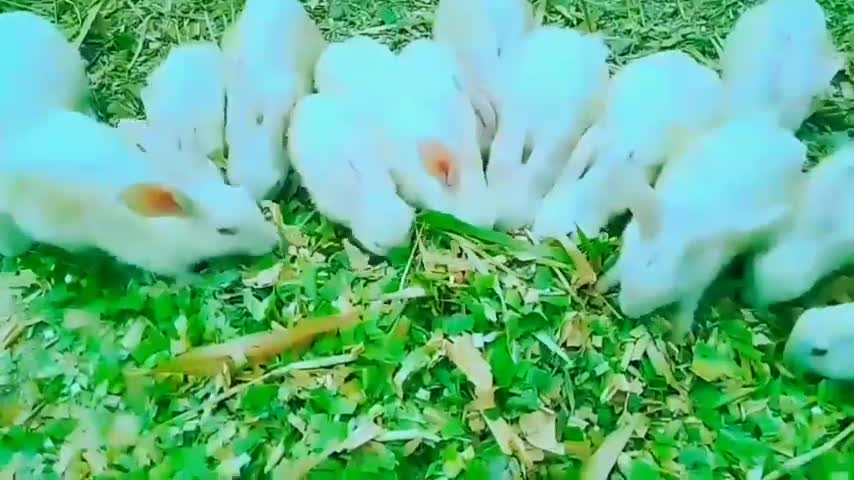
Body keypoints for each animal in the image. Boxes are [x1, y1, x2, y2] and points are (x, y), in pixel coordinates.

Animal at [597, 112, 806, 341]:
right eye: (631, 269)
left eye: (669, 289)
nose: (628, 310)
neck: (683, 222)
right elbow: (614, 271)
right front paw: (599, 286)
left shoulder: (697, 284)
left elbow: (687, 308)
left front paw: (678, 337)